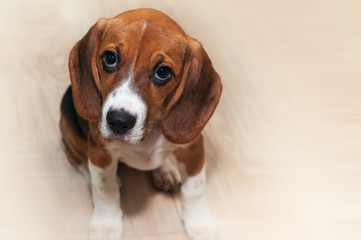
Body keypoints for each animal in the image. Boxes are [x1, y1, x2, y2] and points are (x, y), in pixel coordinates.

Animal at [59, 8, 222, 239]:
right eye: (110, 58)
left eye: (163, 72)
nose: (118, 122)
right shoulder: (100, 151)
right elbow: (105, 192)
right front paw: (106, 226)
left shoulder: (194, 149)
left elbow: (195, 189)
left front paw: (201, 224)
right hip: (71, 132)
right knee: (77, 159)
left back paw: (165, 170)